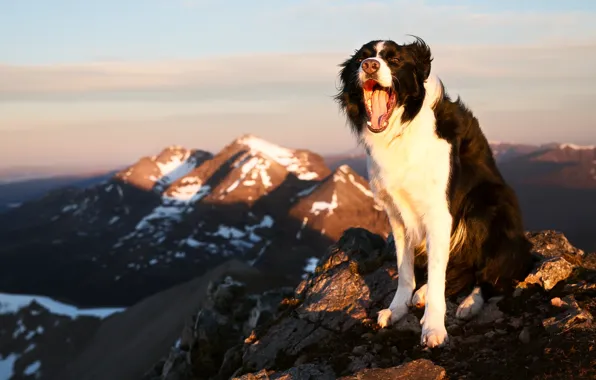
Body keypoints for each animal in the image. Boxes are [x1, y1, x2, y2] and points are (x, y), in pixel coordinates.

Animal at [336, 37, 536, 348]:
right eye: (361, 59)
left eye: (393, 60)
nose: (369, 66)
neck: (401, 131)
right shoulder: (397, 213)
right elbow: (404, 269)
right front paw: (397, 308)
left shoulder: (440, 213)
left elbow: (439, 273)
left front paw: (433, 327)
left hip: (488, 204)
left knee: (489, 275)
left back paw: (469, 303)